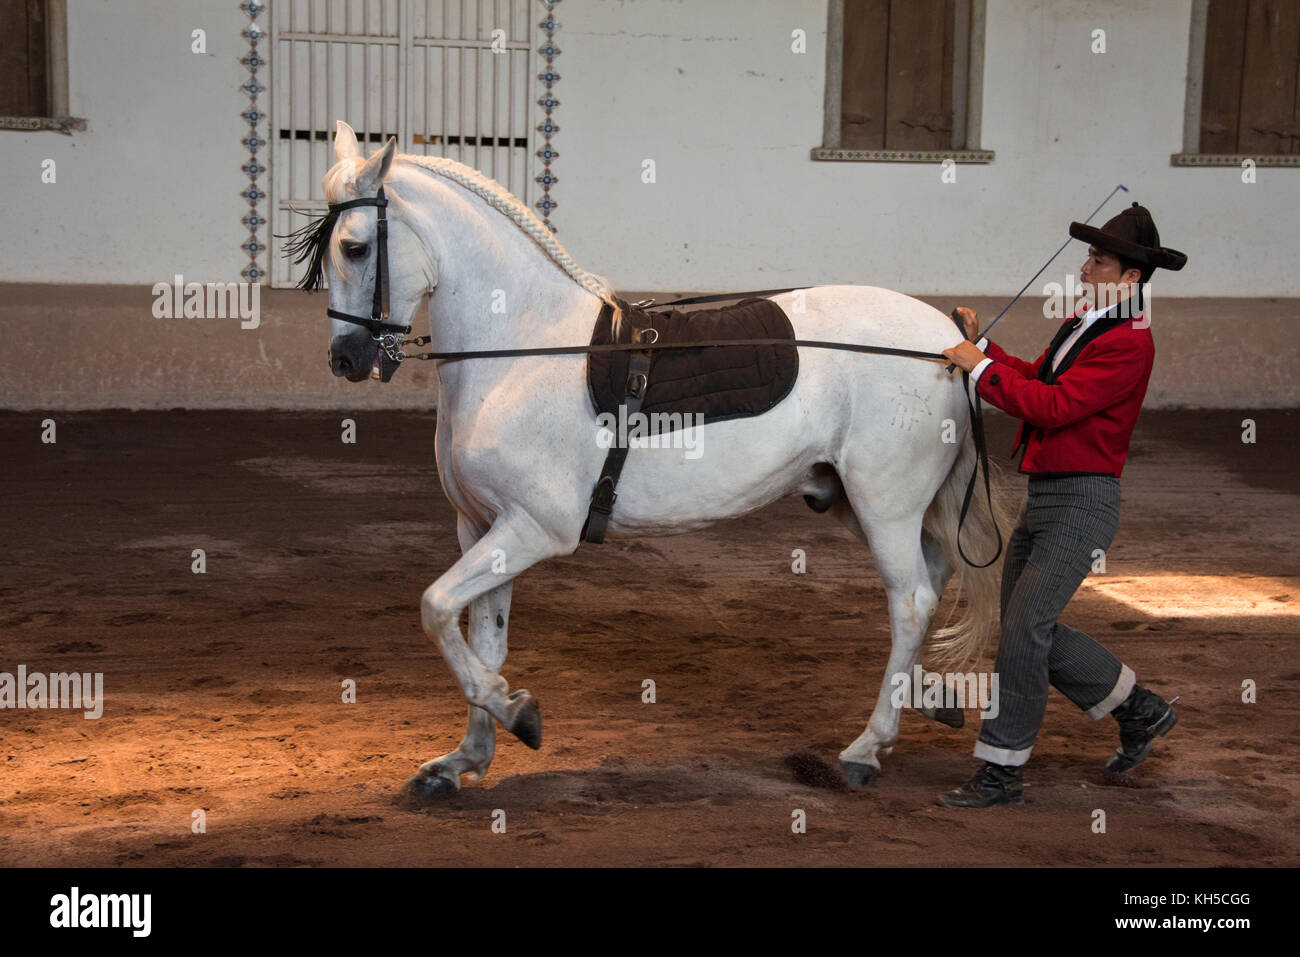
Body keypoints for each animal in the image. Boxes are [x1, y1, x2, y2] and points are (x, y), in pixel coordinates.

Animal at [294, 121, 1010, 800]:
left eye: (354, 247)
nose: (347, 360)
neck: (522, 349)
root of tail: (952, 342)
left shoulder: (534, 529)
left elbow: (436, 608)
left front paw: (517, 713)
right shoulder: (483, 529)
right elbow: (481, 639)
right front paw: (463, 759)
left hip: (885, 504)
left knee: (911, 600)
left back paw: (866, 748)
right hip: (871, 506)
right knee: (932, 578)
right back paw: (928, 701)